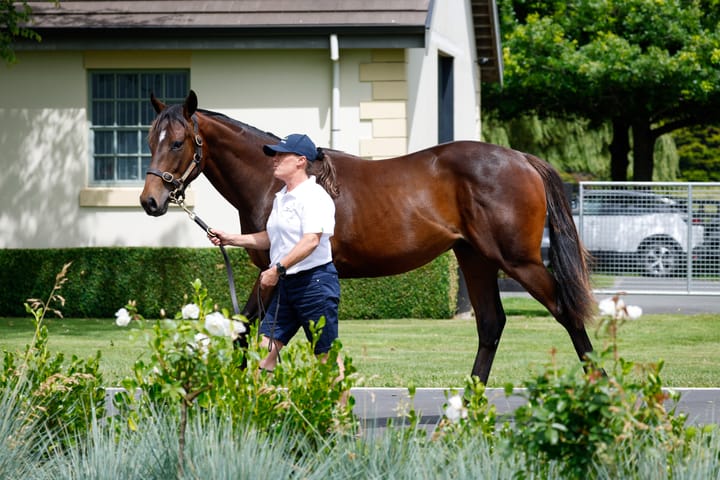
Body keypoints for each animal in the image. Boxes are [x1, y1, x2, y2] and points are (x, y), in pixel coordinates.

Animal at [141, 89, 596, 382]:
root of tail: (522, 158)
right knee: (491, 324)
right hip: (475, 258)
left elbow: (259, 333)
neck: (274, 182)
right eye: (148, 139)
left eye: (179, 142)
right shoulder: (282, 275)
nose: (150, 200)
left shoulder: (278, 270)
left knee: (566, 312)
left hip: (518, 261)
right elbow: (255, 332)